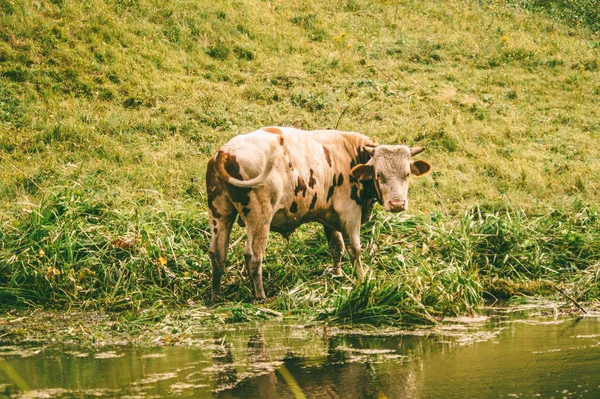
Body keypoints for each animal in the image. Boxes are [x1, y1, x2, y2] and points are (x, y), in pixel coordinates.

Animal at [206, 127, 432, 300]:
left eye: (407, 174)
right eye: (379, 175)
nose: (397, 204)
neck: (350, 154)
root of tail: (226, 150)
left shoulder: (330, 217)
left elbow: (337, 247)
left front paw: (338, 275)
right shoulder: (350, 213)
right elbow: (354, 249)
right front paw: (361, 279)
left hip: (220, 213)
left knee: (217, 253)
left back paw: (217, 296)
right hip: (259, 218)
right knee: (254, 256)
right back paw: (260, 296)